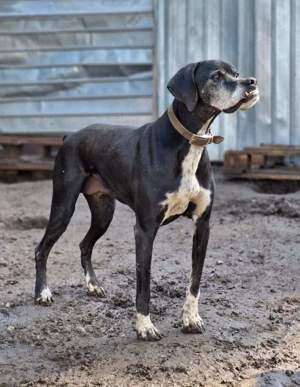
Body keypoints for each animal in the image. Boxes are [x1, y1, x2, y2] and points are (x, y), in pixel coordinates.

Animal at [34, 59, 258, 342]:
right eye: (216, 76)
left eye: (236, 73)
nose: (252, 81)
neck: (190, 142)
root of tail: (69, 136)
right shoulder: (145, 229)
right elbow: (144, 280)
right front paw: (144, 327)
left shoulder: (203, 225)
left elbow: (195, 279)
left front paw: (191, 319)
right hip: (64, 205)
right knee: (42, 248)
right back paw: (42, 293)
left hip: (103, 212)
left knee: (85, 244)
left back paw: (93, 286)